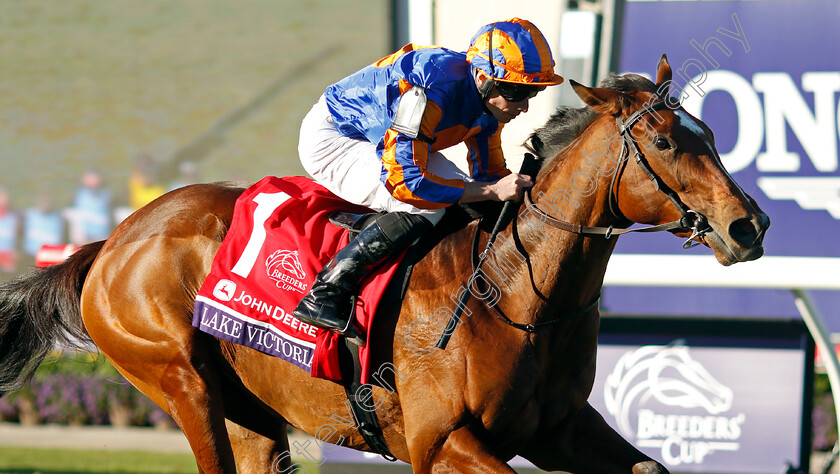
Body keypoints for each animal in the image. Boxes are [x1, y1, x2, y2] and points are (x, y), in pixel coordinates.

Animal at [0, 56, 768, 474]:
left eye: (709, 132)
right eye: (665, 140)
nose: (748, 225)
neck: (515, 295)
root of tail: (113, 241)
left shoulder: (559, 431)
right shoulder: (443, 441)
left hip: (254, 411)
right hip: (181, 382)